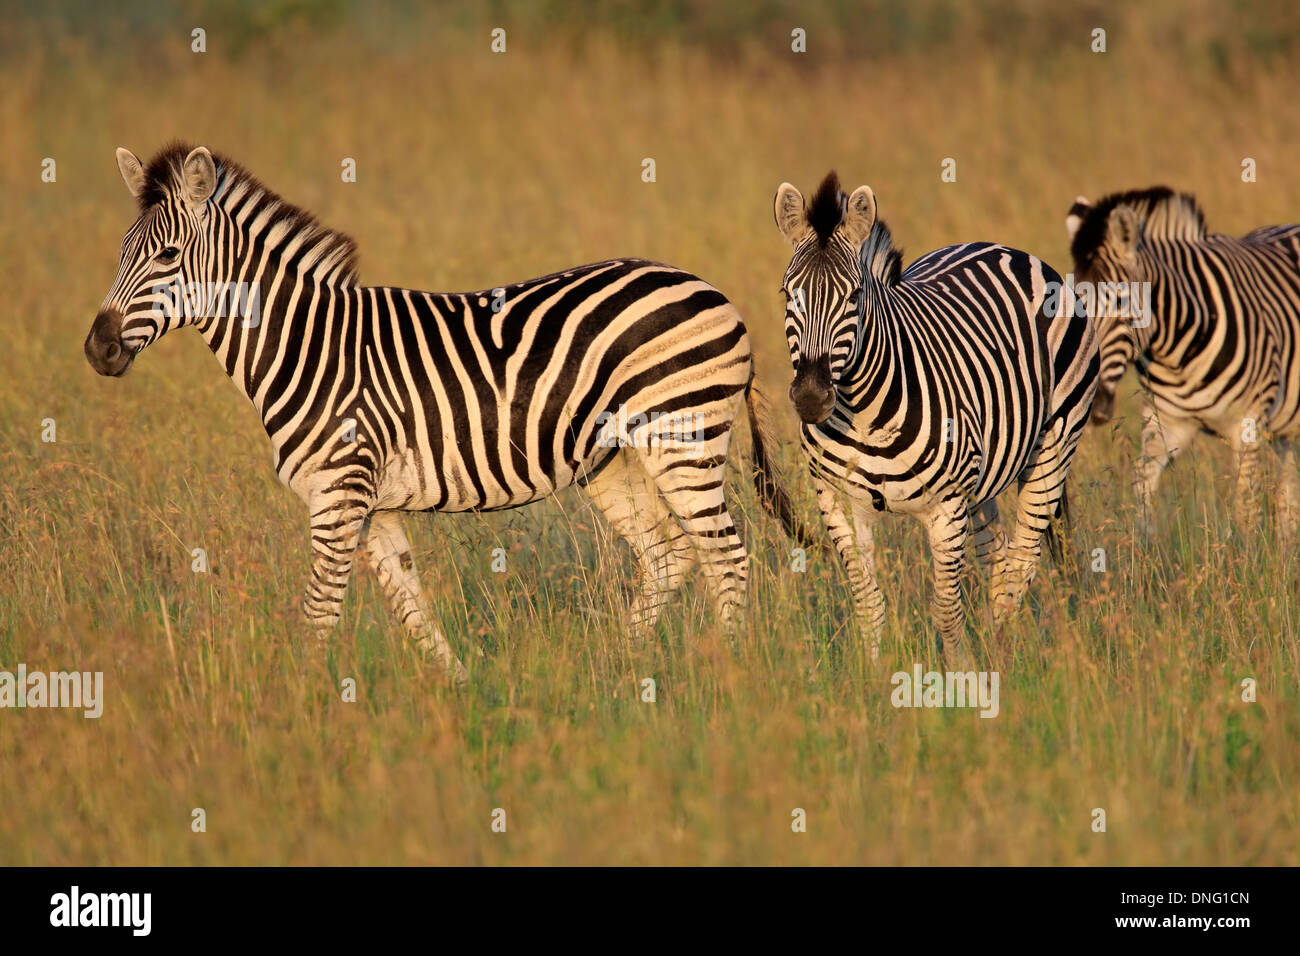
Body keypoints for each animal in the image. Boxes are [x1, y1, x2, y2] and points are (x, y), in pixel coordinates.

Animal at [86, 141, 806, 686]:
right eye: (120, 253)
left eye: (168, 257)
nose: (97, 348)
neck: (306, 345)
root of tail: (715, 291)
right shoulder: (372, 505)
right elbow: (413, 608)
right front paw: (460, 694)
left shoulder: (339, 493)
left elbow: (320, 612)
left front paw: (300, 707)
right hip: (612, 462)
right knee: (669, 552)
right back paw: (613, 666)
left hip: (682, 439)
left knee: (727, 555)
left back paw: (728, 673)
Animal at [769, 171, 1097, 665]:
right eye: (788, 294)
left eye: (854, 296)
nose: (810, 398)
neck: (864, 415)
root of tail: (1004, 248)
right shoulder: (838, 501)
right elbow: (867, 602)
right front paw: (872, 675)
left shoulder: (946, 506)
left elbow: (946, 609)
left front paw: (959, 676)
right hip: (983, 482)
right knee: (1000, 560)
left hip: (1054, 448)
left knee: (1019, 567)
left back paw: (1000, 660)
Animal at [1066, 183, 1300, 535]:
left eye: (1121, 301)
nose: (1090, 405)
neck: (1177, 353)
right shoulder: (1165, 424)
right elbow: (1142, 494)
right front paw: (1145, 546)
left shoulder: (1248, 425)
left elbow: (1246, 513)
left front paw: (1250, 552)